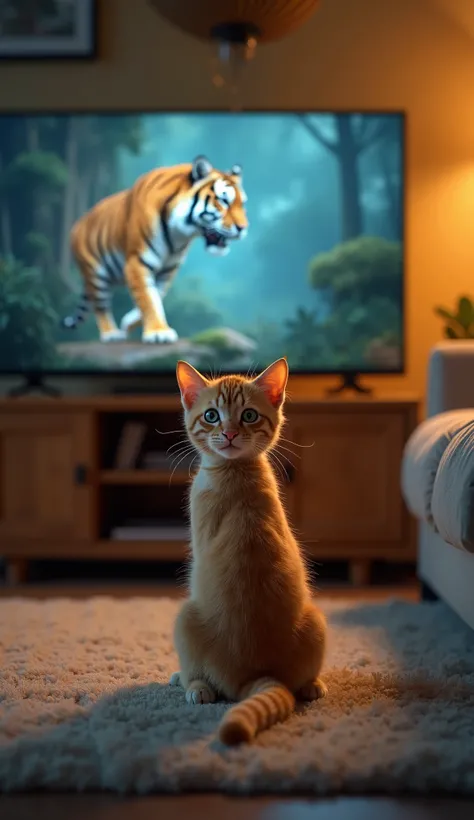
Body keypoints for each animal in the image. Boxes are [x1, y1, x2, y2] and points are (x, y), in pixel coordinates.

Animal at [171, 358, 330, 744]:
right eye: (211, 415)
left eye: (248, 415)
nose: (228, 433)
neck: (235, 469)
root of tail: (257, 673)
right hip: (316, 619)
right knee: (303, 682)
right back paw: (314, 685)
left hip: (183, 616)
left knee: (200, 679)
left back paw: (190, 683)